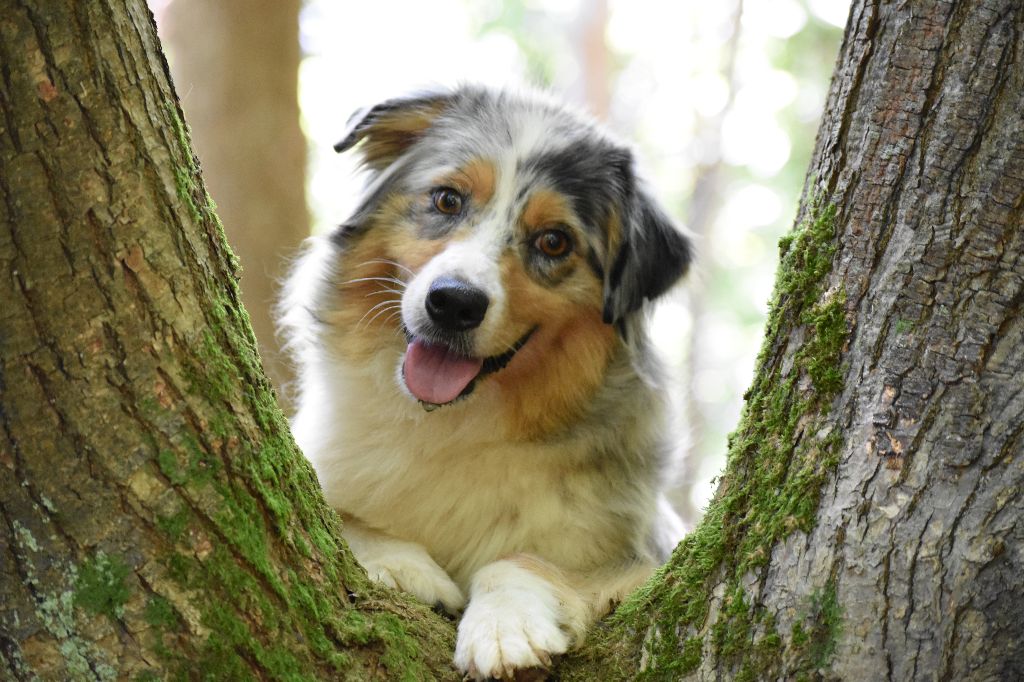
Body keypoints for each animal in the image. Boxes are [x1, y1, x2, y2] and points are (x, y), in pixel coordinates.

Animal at [280, 84, 692, 675]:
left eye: (553, 241)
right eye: (447, 200)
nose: (453, 303)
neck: (451, 425)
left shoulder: (644, 561)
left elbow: (516, 560)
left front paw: (504, 628)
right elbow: (343, 516)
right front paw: (405, 566)